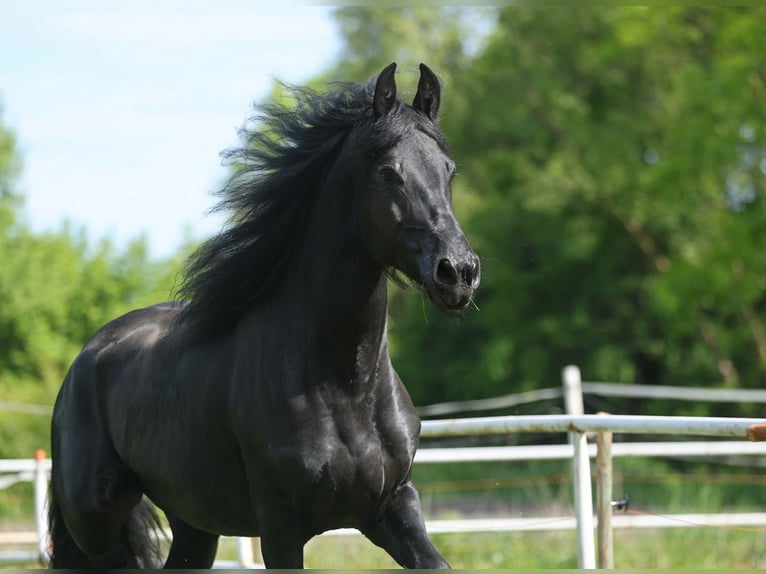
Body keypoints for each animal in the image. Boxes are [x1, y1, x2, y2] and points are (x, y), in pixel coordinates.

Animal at [48, 64, 480, 572]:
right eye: (388, 172)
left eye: (449, 171)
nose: (458, 272)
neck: (344, 386)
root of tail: (87, 357)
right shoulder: (280, 529)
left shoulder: (393, 506)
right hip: (95, 524)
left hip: (193, 520)